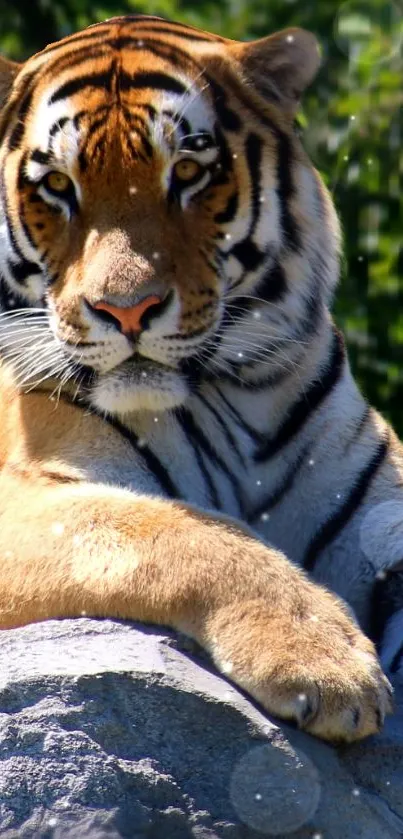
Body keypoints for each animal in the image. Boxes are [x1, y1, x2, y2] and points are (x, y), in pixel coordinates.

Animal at [0, 13, 400, 744]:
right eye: (58, 187)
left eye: (187, 173)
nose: (125, 309)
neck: (239, 396)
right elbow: (173, 531)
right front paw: (325, 663)